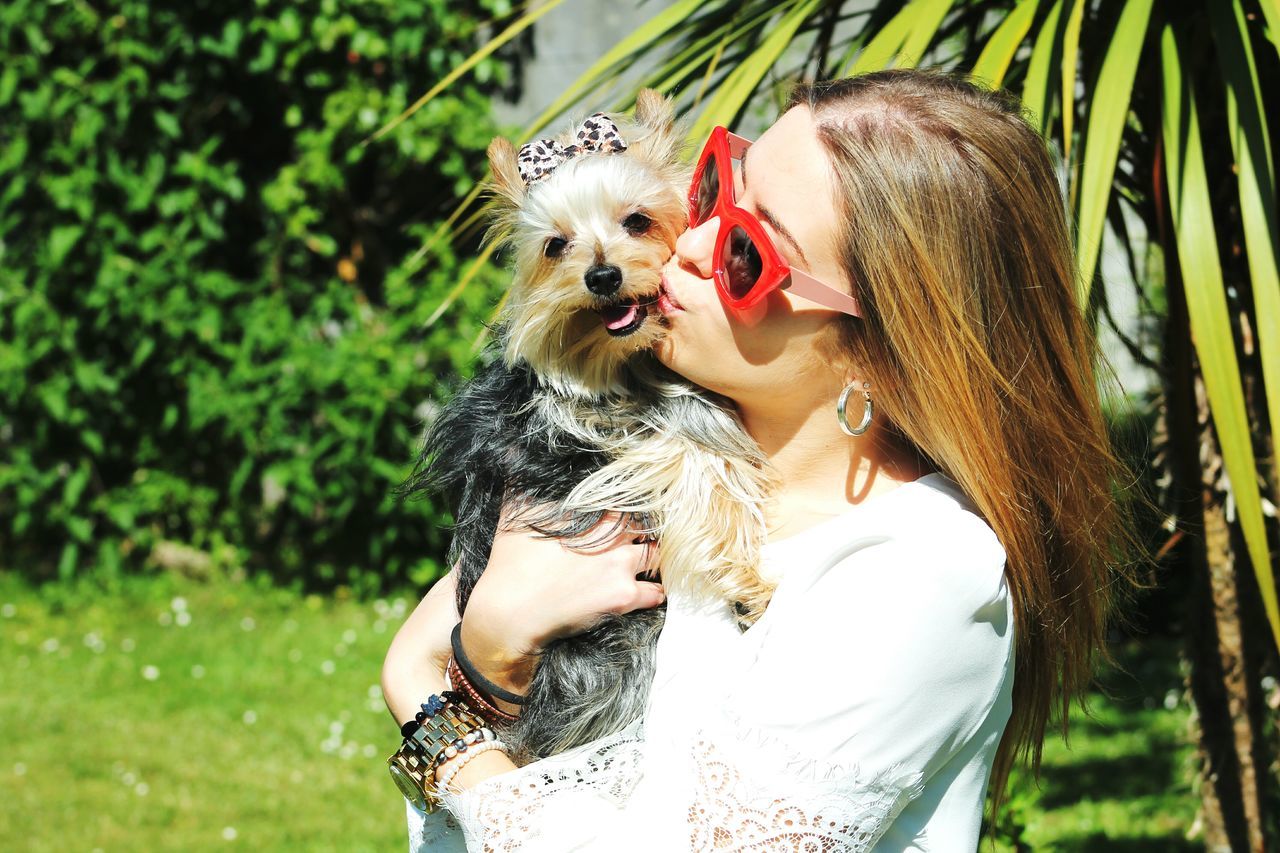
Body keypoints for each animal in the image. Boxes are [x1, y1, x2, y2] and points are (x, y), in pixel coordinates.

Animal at [404, 92, 773, 763]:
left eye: (637, 221)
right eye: (555, 246)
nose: (601, 276)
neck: (623, 366)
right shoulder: (588, 454)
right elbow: (697, 461)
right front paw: (747, 580)